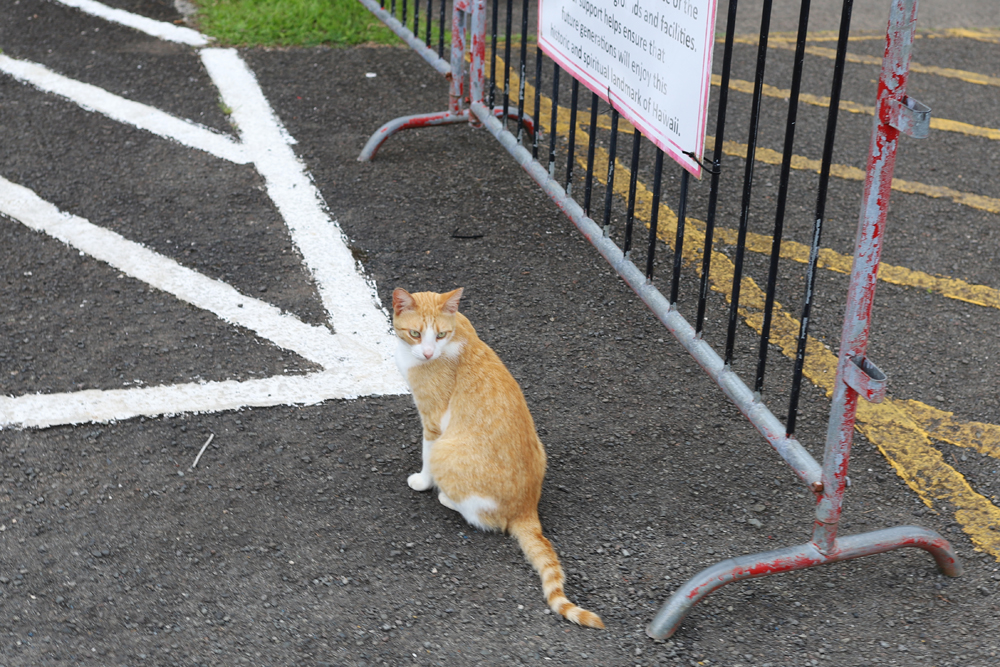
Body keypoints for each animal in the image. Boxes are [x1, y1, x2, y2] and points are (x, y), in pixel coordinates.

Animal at [392, 288, 604, 632]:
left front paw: (423, 482)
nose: (427, 352)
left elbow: (425, 455)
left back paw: (447, 498)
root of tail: (527, 509)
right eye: (416, 334)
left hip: (448, 451)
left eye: (440, 335)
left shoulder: (433, 423)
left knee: (483, 518)